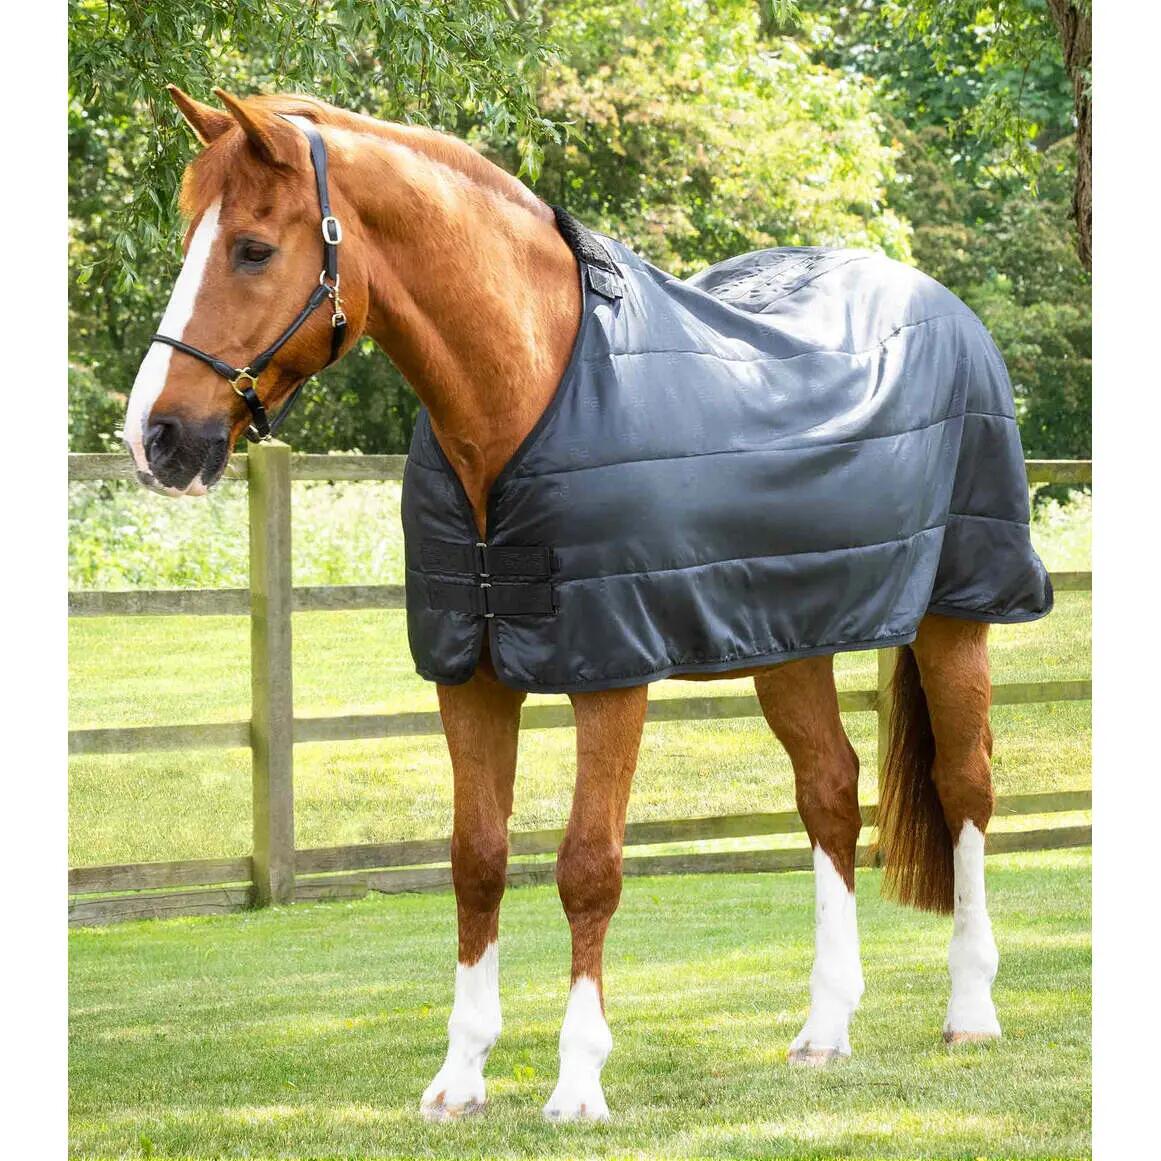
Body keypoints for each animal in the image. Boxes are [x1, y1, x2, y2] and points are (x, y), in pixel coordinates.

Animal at [121, 87, 1050, 1122]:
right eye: (191, 236)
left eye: (251, 248)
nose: (154, 436)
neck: (526, 394)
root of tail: (944, 308)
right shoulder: (469, 673)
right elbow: (476, 858)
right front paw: (459, 1076)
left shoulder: (611, 670)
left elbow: (586, 866)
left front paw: (576, 1081)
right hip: (787, 638)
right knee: (830, 792)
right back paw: (823, 1028)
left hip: (955, 614)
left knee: (965, 786)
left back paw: (970, 1011)